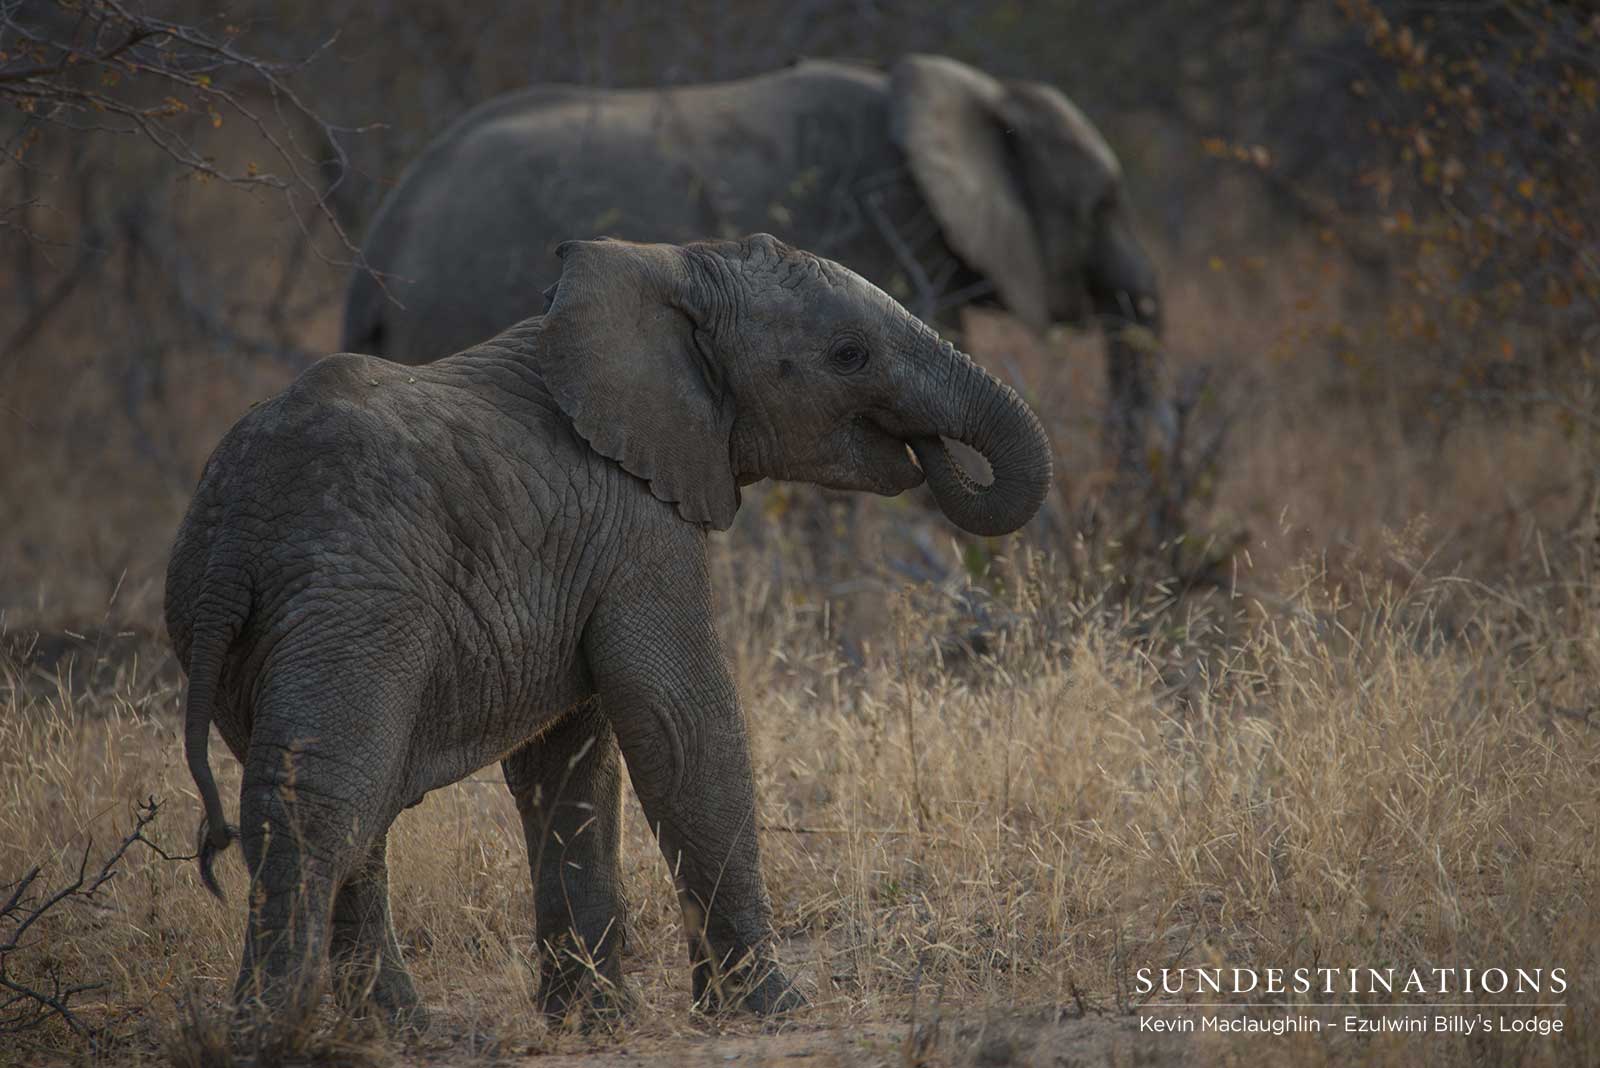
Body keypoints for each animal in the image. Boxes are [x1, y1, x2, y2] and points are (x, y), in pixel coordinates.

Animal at [167, 235, 1052, 1033]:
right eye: (849, 355)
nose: (928, 450)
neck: (679, 271)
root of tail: (232, 533)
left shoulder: (581, 553)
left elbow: (570, 765)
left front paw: (597, 1023)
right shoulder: (639, 523)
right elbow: (681, 722)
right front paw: (773, 1012)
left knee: (351, 817)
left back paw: (403, 1034)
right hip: (354, 607)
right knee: (320, 805)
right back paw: (272, 1033)